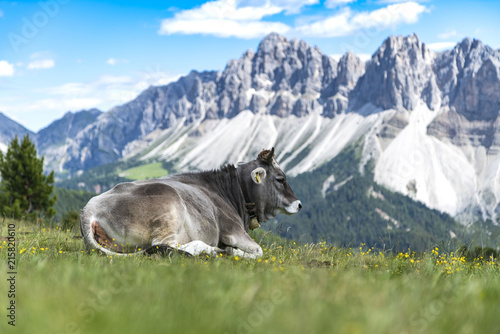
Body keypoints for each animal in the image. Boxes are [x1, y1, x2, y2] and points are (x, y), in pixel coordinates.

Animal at [80, 148, 302, 258]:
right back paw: (211, 250)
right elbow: (259, 251)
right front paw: (234, 251)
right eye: (281, 178)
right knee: (164, 246)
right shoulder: (233, 230)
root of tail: (89, 208)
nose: (299, 204)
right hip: (169, 207)